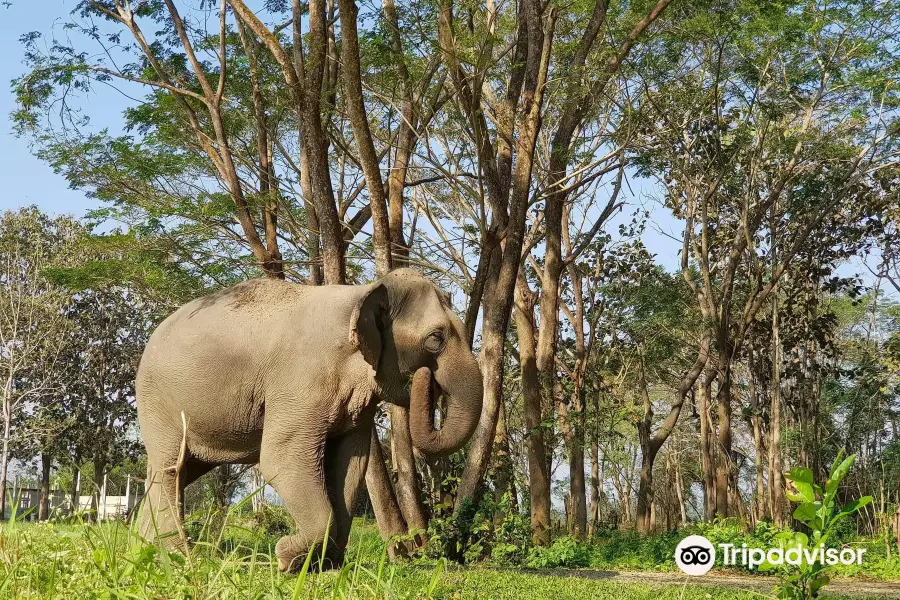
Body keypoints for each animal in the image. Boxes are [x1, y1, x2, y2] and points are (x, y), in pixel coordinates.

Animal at [134, 268, 482, 572]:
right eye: (436, 338)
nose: (425, 379)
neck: (361, 293)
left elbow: (350, 464)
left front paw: (325, 567)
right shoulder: (299, 382)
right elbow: (281, 458)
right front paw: (287, 560)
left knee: (173, 472)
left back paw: (147, 550)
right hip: (158, 401)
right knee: (170, 470)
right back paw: (177, 557)